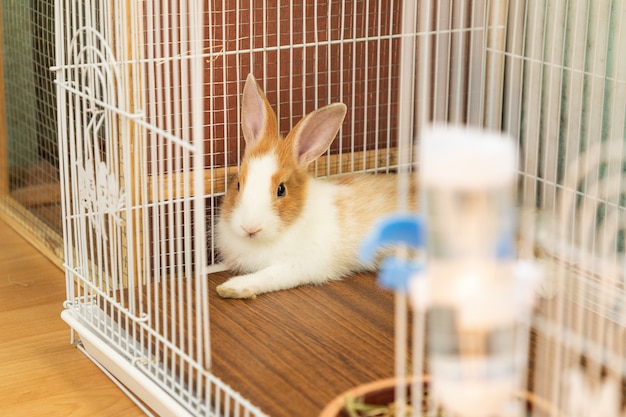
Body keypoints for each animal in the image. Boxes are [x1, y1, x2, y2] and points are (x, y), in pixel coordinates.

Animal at [214, 73, 414, 298]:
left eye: (281, 190)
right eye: (238, 184)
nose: (250, 228)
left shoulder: (298, 266)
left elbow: (267, 276)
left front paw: (232, 288)